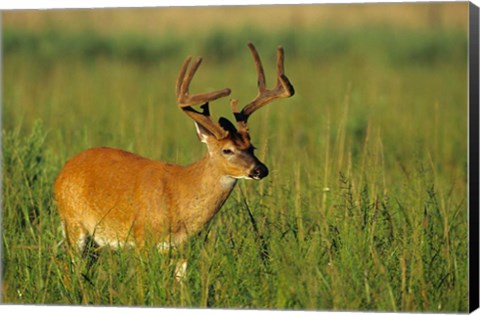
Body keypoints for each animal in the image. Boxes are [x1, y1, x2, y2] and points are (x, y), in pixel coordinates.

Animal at [52, 43, 292, 280]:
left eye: (252, 147)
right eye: (227, 150)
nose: (261, 169)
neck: (180, 197)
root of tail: (64, 169)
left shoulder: (186, 248)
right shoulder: (142, 238)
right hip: (73, 224)